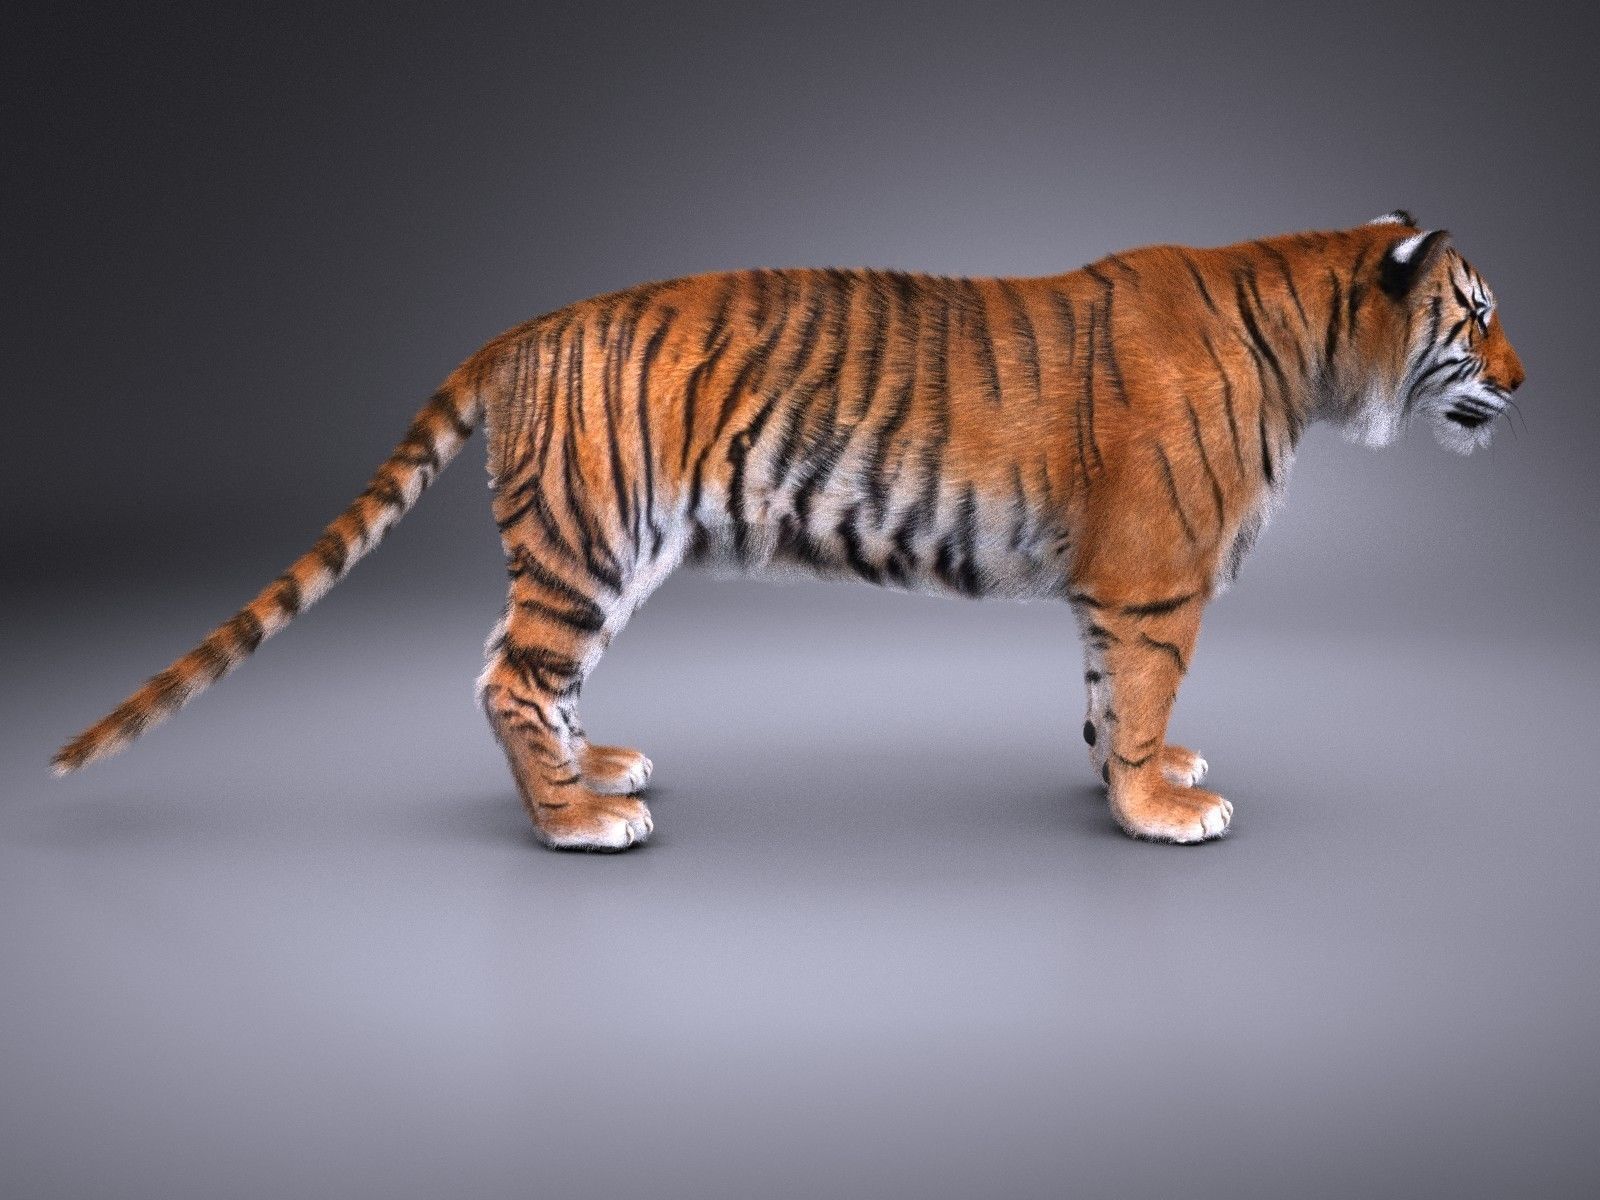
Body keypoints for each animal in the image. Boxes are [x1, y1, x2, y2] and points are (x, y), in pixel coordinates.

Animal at [51, 211, 1525, 849]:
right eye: (1475, 312)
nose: (1528, 376)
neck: (1317, 356)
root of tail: (523, 327)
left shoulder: (1117, 590)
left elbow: (1111, 698)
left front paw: (1136, 775)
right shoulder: (1157, 577)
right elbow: (1144, 695)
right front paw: (1164, 806)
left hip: (603, 551)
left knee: (534, 675)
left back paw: (603, 768)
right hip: (589, 540)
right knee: (507, 677)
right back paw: (576, 821)